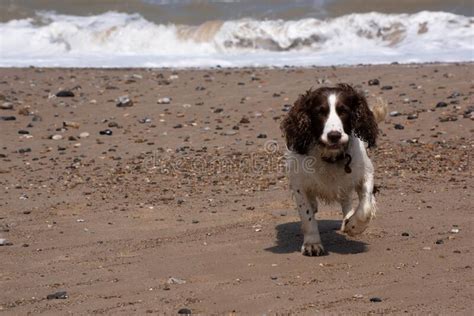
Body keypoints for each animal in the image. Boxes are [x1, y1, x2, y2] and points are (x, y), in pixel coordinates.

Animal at [282, 82, 386, 256]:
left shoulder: (365, 173)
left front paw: (353, 226)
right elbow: (307, 215)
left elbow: (365, 206)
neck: (331, 157)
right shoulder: (299, 185)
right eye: (320, 112)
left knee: (347, 201)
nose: (334, 135)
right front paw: (312, 244)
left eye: (343, 111)